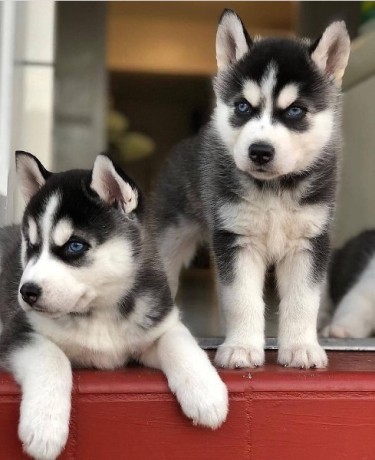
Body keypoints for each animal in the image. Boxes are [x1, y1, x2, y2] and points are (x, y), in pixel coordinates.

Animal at [0, 154, 229, 460]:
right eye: (31, 245)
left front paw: (206, 393)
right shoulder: (19, 331)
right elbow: (52, 357)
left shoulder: (157, 323)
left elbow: (180, 341)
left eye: (75, 246)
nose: (27, 292)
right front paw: (44, 427)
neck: (100, 311)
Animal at [151, 9, 352, 370]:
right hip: (172, 236)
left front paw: (301, 347)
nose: (259, 151)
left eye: (296, 110)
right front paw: (242, 347)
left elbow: (303, 300)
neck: (273, 190)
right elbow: (242, 299)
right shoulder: (236, 241)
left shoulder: (309, 242)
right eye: (243, 106)